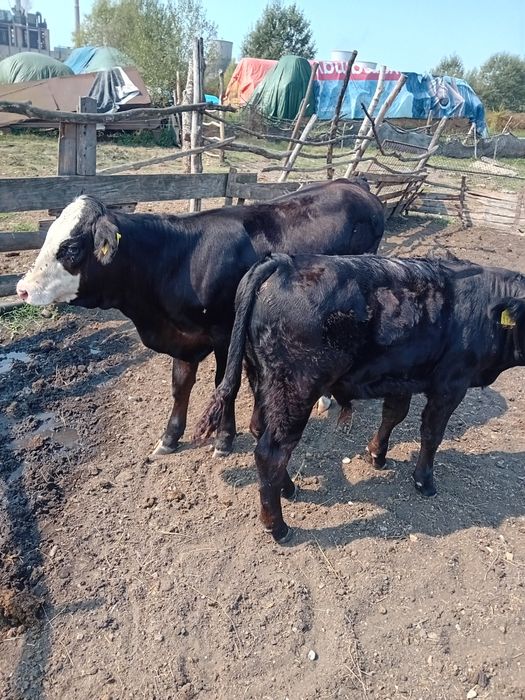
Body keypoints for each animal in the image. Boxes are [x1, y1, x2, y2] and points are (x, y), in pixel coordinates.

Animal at [16, 178, 384, 457]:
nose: (21, 289)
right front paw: (169, 438)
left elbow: (224, 383)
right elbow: (180, 386)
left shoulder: (223, 332)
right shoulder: (184, 338)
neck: (178, 259)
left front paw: (223, 439)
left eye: (71, 248)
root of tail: (353, 183)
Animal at [195, 253, 525, 543]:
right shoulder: (450, 385)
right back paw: (277, 527)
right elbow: (432, 435)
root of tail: (283, 261)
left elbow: (393, 414)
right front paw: (424, 480)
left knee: (260, 431)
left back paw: (287, 488)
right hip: (295, 390)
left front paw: (376, 454)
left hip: (262, 380)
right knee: (271, 453)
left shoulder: (401, 375)